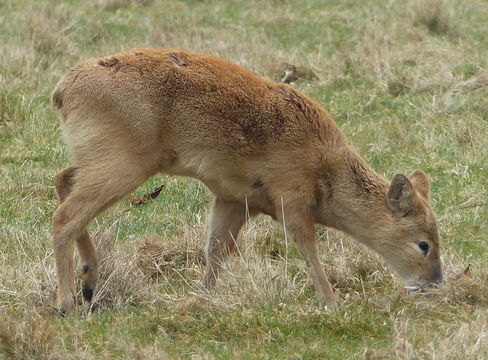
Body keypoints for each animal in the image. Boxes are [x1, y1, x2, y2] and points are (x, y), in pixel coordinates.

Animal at [49, 47, 442, 312]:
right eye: (423, 243)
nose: (435, 282)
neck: (326, 169)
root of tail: (63, 89)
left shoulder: (234, 199)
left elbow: (216, 250)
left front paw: (202, 297)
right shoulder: (290, 196)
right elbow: (307, 248)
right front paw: (331, 302)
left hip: (102, 159)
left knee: (63, 180)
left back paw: (89, 282)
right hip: (124, 164)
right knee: (64, 216)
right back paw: (68, 301)